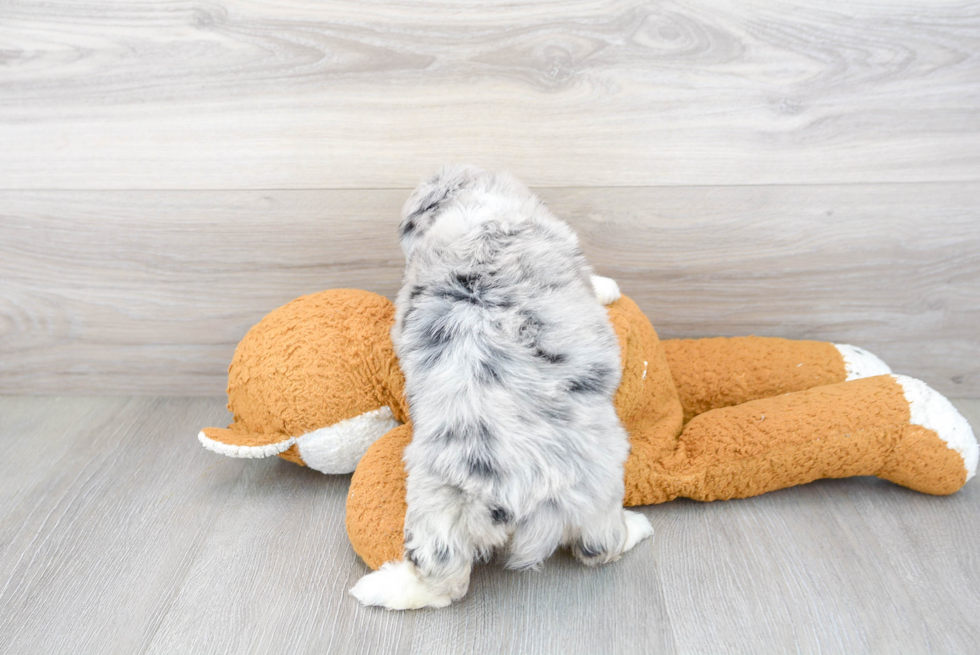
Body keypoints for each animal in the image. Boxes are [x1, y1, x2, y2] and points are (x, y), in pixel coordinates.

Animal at [348, 165, 656, 608]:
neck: (477, 208)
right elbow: (593, 281)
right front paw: (608, 287)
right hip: (599, 483)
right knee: (599, 546)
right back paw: (637, 527)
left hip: (437, 500)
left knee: (445, 579)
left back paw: (379, 586)